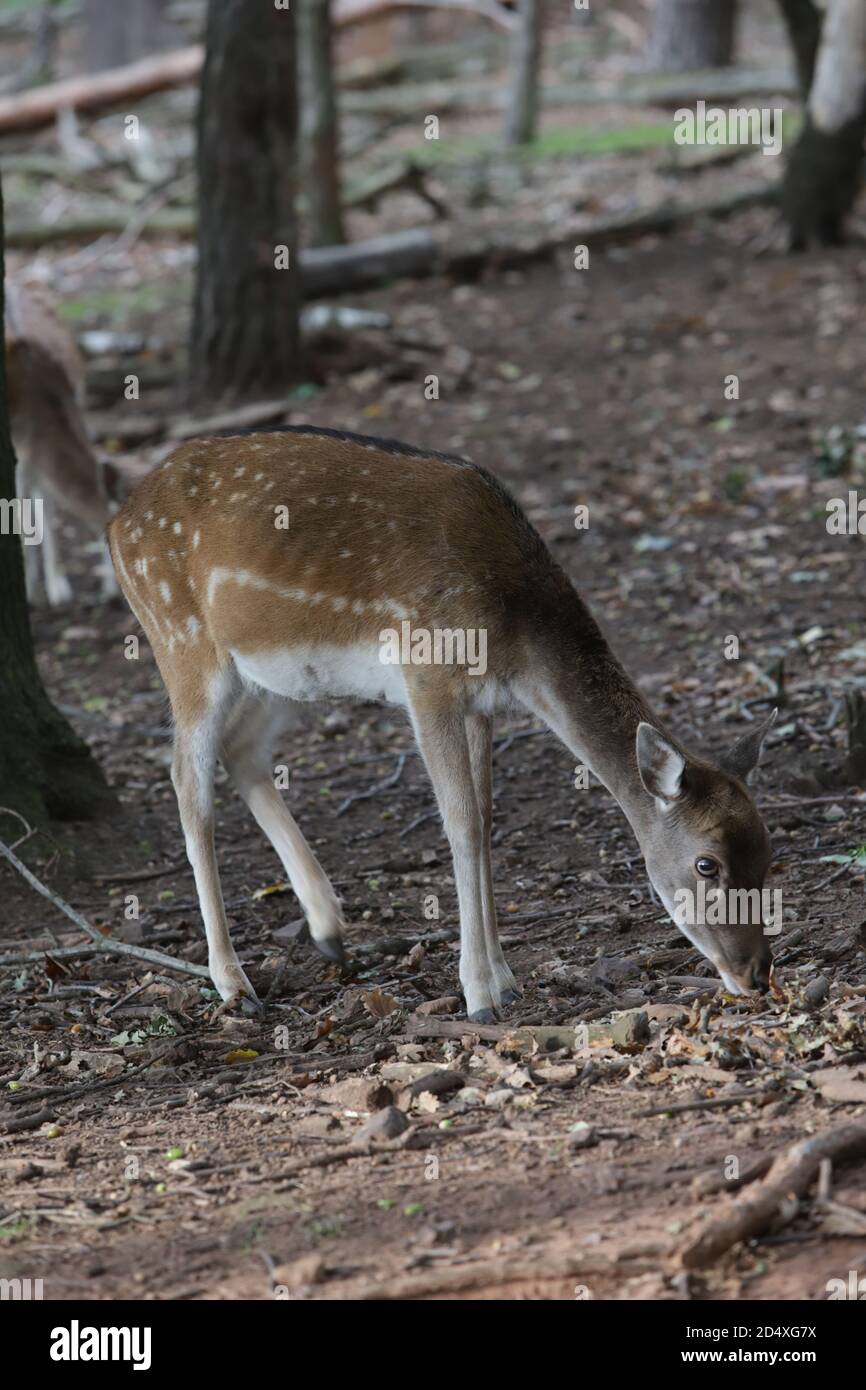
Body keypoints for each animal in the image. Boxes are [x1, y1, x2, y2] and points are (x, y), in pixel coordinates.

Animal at [108, 422, 778, 1023]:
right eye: (706, 864)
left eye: (769, 850)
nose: (758, 973)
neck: (512, 628)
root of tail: (117, 523)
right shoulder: (426, 674)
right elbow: (458, 823)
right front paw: (480, 994)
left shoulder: (480, 702)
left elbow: (484, 820)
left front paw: (506, 979)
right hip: (182, 641)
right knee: (187, 781)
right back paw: (235, 985)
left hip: (275, 671)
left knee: (243, 752)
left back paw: (329, 929)